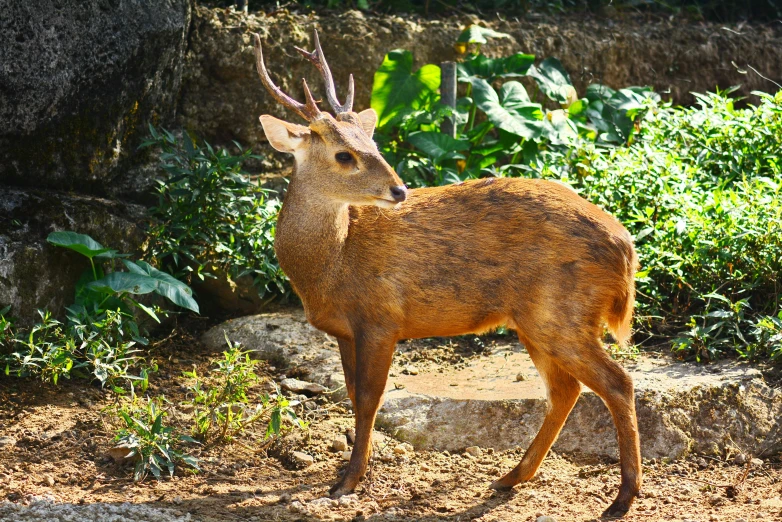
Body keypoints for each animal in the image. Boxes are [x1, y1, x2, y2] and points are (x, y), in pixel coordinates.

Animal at [250, 31, 644, 516]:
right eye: (344, 155)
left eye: (374, 146)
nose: (399, 190)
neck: (332, 265)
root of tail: (625, 247)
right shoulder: (345, 329)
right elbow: (352, 394)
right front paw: (349, 473)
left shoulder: (381, 319)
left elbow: (370, 398)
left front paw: (348, 482)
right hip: (536, 320)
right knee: (566, 390)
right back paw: (510, 478)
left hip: (562, 312)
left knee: (617, 383)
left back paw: (622, 497)